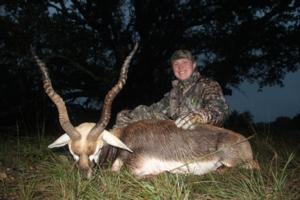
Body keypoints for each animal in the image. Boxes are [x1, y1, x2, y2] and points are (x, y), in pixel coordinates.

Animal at [32, 43, 258, 178]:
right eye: (72, 151)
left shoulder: (134, 169)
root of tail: (245, 141)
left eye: (97, 148)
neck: (121, 144)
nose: (85, 176)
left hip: (235, 162)